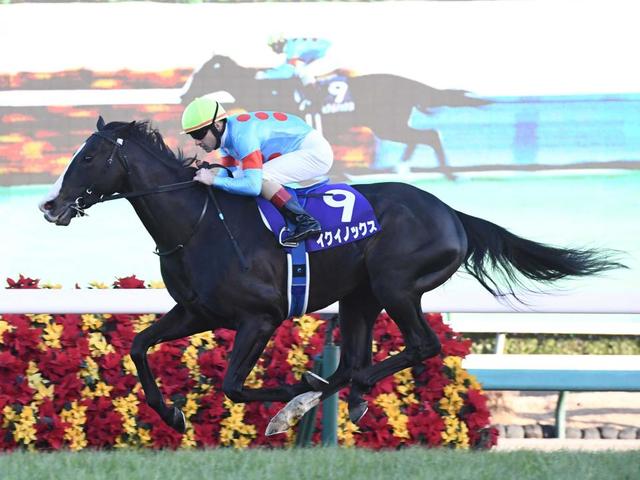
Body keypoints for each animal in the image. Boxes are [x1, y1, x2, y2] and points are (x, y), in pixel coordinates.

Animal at [39, 117, 623, 435]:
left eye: (88, 157)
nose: (51, 206)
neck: (199, 222)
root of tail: (452, 213)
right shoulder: (197, 310)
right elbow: (139, 346)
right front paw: (172, 414)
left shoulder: (260, 318)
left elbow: (233, 386)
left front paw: (289, 401)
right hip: (359, 297)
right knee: (360, 359)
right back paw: (346, 394)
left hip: (395, 286)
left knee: (418, 346)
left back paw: (326, 394)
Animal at [181, 55, 492, 180]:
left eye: (204, 73)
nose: (184, 95)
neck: (267, 87)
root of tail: (405, 82)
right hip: (389, 125)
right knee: (420, 138)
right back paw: (406, 166)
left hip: (387, 124)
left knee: (428, 135)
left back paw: (449, 174)